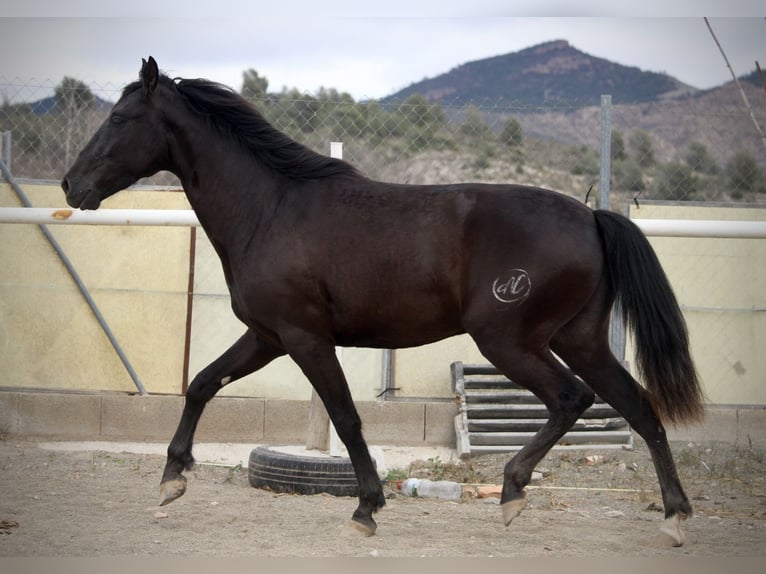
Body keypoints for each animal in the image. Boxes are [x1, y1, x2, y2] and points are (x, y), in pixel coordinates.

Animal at [63, 58, 704, 548]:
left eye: (119, 118)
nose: (72, 185)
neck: (271, 209)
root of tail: (592, 217)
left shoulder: (305, 339)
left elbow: (346, 417)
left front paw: (366, 509)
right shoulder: (267, 337)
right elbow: (201, 383)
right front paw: (172, 478)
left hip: (510, 341)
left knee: (573, 399)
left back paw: (513, 491)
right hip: (579, 339)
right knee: (640, 408)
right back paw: (673, 518)